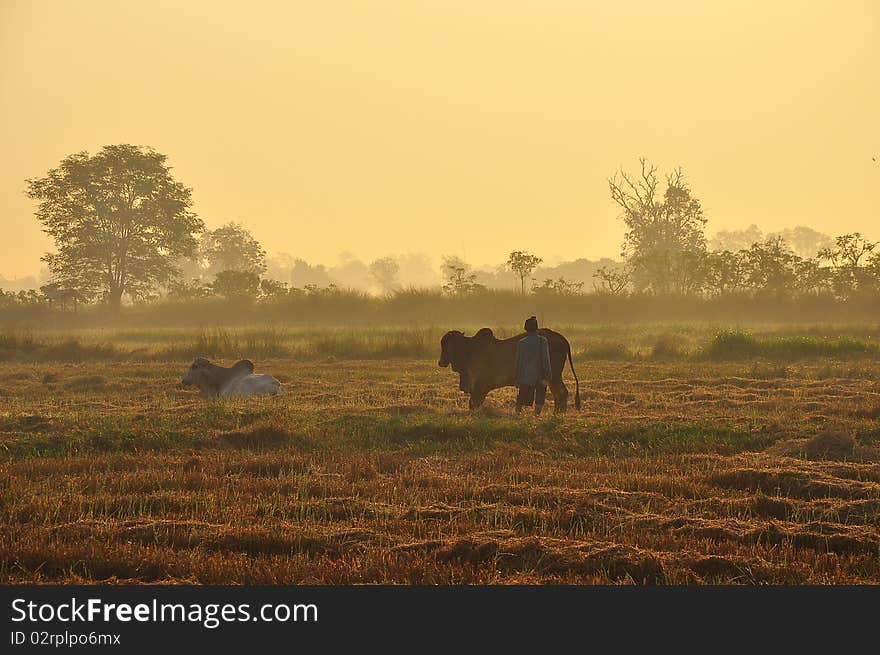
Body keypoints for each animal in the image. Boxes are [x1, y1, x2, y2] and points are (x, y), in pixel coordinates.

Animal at [436, 328, 580, 416]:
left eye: (445, 345)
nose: (440, 362)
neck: (469, 350)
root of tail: (561, 338)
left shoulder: (480, 384)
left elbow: (473, 402)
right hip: (551, 377)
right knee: (558, 394)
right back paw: (556, 413)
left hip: (554, 375)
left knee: (562, 392)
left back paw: (559, 414)